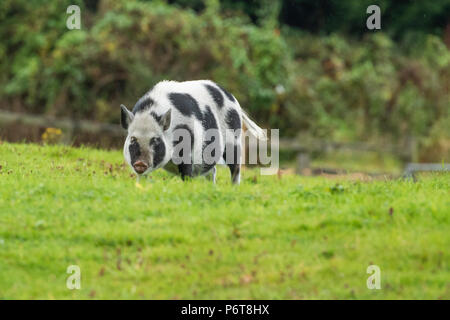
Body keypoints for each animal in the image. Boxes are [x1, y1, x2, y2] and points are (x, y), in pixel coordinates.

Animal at [120, 80, 268, 185]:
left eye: (155, 140)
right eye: (133, 139)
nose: (140, 163)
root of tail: (233, 99)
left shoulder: (188, 151)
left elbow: (186, 173)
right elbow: (142, 176)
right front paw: (140, 185)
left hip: (234, 140)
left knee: (235, 168)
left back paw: (234, 187)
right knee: (212, 170)